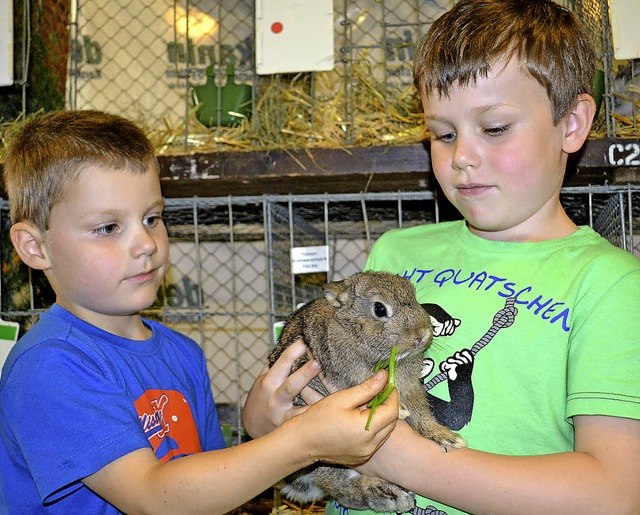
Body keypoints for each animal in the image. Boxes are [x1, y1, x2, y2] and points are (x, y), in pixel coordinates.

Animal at [264, 272, 464, 512]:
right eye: (379, 309)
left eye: (415, 298)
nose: (421, 335)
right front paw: (400, 410)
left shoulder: (411, 388)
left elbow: (421, 415)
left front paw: (447, 438)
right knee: (338, 486)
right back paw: (388, 494)